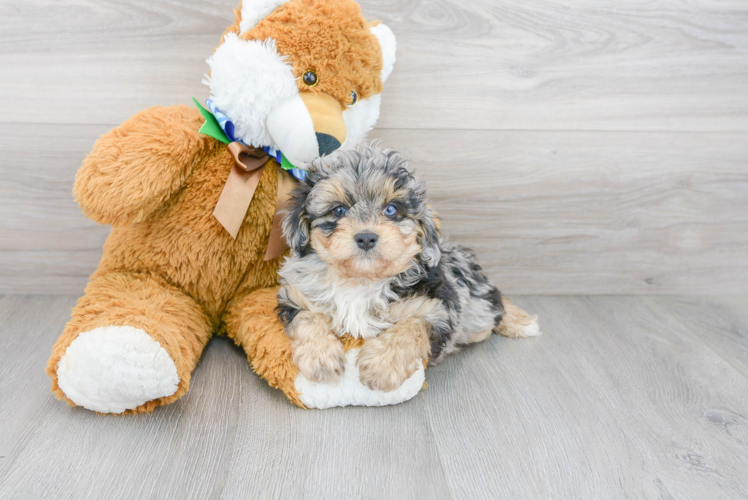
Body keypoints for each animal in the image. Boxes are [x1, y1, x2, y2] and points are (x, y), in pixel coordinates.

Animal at [274, 144, 536, 390]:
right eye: (339, 210)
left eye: (391, 209)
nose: (366, 237)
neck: (360, 279)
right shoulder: (296, 296)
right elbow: (309, 317)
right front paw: (320, 359)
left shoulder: (438, 308)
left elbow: (412, 325)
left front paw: (380, 365)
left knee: (495, 299)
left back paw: (521, 321)